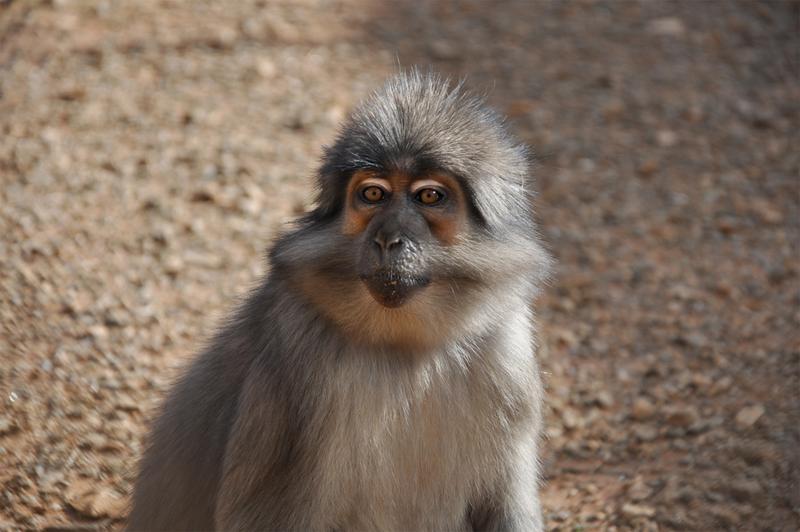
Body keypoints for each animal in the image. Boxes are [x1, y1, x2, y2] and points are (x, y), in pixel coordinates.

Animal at [128, 71, 552, 532]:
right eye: (373, 194)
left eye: (429, 196)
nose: (387, 239)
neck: (405, 348)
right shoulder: (294, 363)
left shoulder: (506, 352)